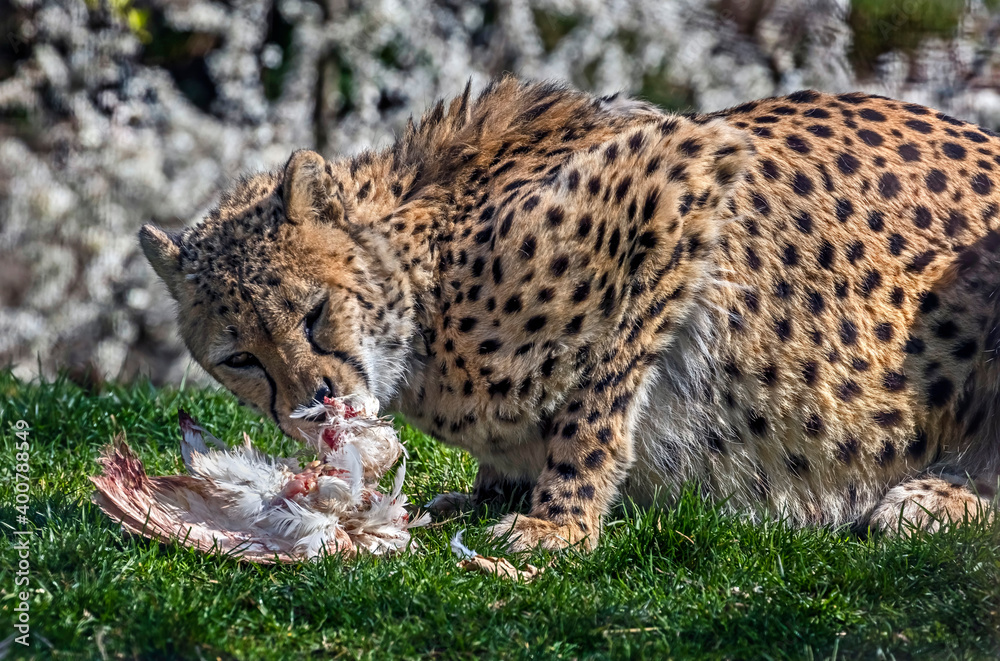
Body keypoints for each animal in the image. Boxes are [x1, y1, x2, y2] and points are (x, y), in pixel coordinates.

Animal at [140, 76, 1000, 551]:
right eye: (241, 358)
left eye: (314, 313)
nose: (318, 403)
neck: (424, 288)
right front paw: (491, 493)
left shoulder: (679, 176)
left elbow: (595, 401)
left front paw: (558, 523)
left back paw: (934, 497)